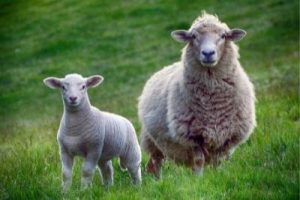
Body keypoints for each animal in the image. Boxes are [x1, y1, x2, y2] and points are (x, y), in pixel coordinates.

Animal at [138, 12, 255, 178]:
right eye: (193, 36)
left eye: (223, 35)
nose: (208, 53)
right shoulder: (192, 136)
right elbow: (199, 161)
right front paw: (199, 179)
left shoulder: (227, 136)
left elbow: (218, 161)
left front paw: (217, 176)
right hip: (152, 141)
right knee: (155, 163)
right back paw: (158, 180)